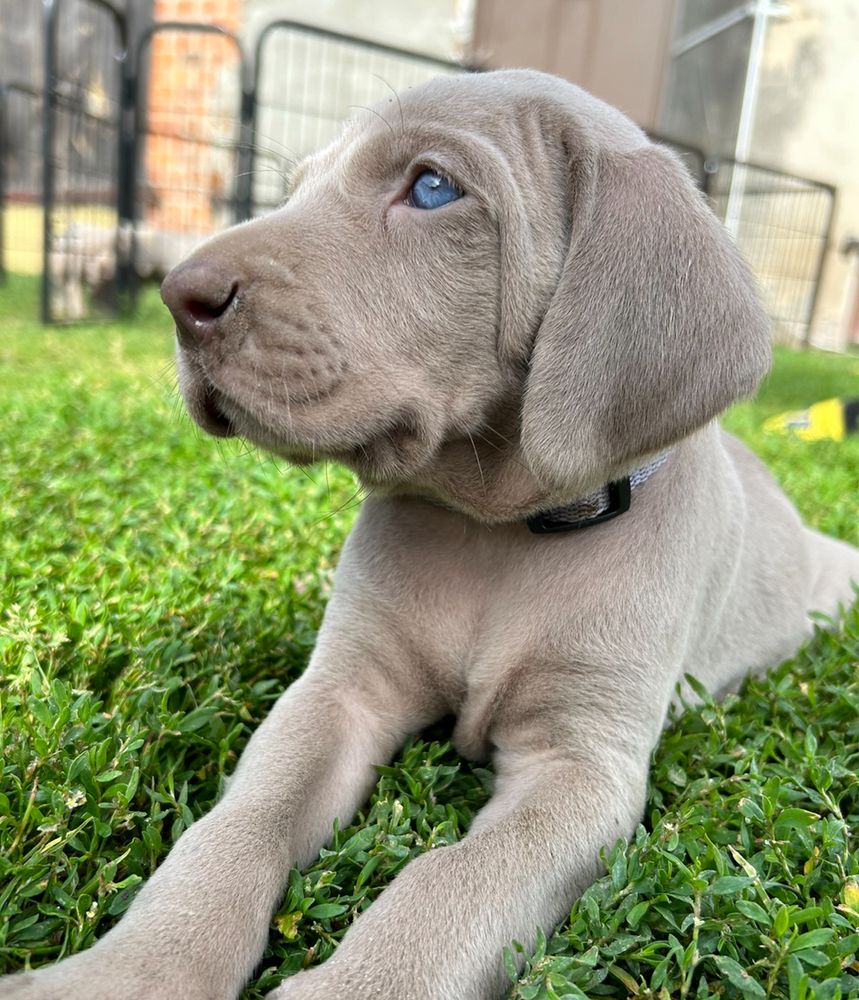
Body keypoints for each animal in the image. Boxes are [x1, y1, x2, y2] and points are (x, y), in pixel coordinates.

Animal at [1, 68, 859, 1000]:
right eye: (297, 189)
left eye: (433, 187)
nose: (177, 298)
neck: (496, 534)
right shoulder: (339, 692)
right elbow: (234, 827)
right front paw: (129, 969)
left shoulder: (581, 767)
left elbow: (449, 882)